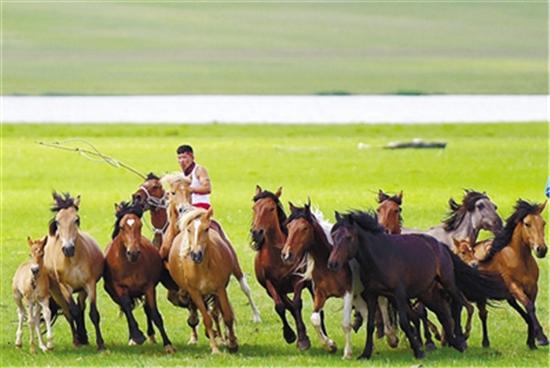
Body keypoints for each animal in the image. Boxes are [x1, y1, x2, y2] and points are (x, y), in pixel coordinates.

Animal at [43, 191, 105, 350]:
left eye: (76, 220)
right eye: (57, 222)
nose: (68, 248)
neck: (72, 261)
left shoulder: (90, 284)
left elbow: (93, 314)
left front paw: (100, 344)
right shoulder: (65, 287)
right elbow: (73, 312)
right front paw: (78, 339)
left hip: (82, 289)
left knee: (81, 306)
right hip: (57, 293)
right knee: (68, 313)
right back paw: (77, 339)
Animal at [102, 203, 175, 352]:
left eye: (140, 226)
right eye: (122, 227)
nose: (133, 253)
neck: (130, 265)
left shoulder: (149, 288)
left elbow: (155, 314)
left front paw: (168, 344)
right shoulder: (120, 288)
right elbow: (127, 309)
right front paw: (136, 336)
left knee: (147, 309)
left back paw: (151, 335)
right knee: (127, 308)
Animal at [251, 187, 312, 350]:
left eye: (271, 208)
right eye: (254, 208)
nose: (256, 233)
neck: (277, 254)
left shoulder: (298, 280)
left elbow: (297, 304)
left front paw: (303, 340)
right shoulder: (270, 283)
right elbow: (280, 307)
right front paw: (290, 335)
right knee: (286, 305)